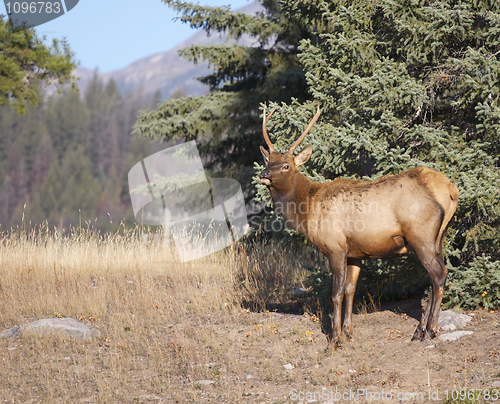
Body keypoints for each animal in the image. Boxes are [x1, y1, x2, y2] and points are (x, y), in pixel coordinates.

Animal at [260, 102, 458, 348]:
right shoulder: (355, 253)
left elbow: (335, 294)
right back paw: (419, 331)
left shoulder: (335, 247)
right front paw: (347, 333)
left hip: (421, 235)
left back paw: (429, 331)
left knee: (439, 274)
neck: (308, 211)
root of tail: (450, 190)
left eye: (286, 165)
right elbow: (350, 290)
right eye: (268, 161)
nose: (264, 174)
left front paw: (334, 340)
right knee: (434, 276)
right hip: (439, 236)